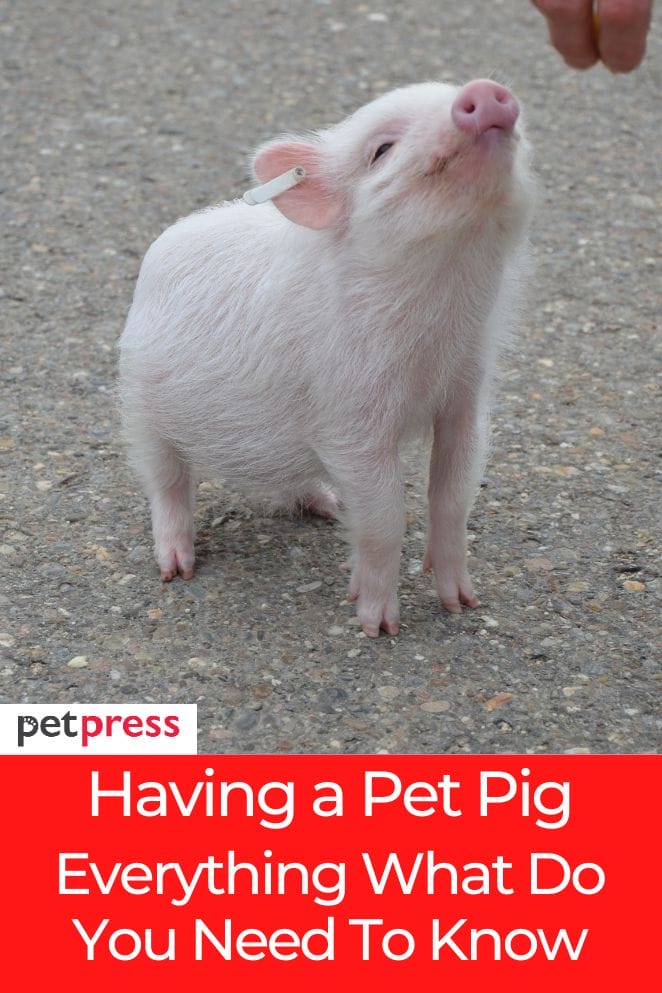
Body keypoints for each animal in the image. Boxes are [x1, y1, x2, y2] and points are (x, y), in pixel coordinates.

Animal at [119, 79, 535, 637]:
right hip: (138, 402)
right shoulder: (349, 416)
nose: (484, 91)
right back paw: (176, 569)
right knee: (165, 482)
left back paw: (329, 505)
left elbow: (454, 494)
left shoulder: (466, 393)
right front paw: (378, 626)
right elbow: (384, 515)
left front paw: (462, 605)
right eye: (381, 149)